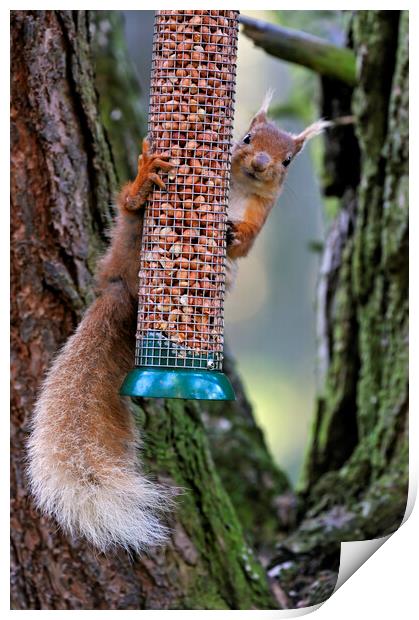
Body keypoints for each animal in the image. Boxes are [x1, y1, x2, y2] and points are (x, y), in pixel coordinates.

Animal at [27, 97, 328, 552]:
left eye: (288, 160)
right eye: (246, 138)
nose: (261, 163)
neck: (240, 190)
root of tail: (120, 286)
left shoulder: (260, 216)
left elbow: (245, 244)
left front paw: (233, 233)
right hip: (135, 231)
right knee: (130, 206)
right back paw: (143, 180)